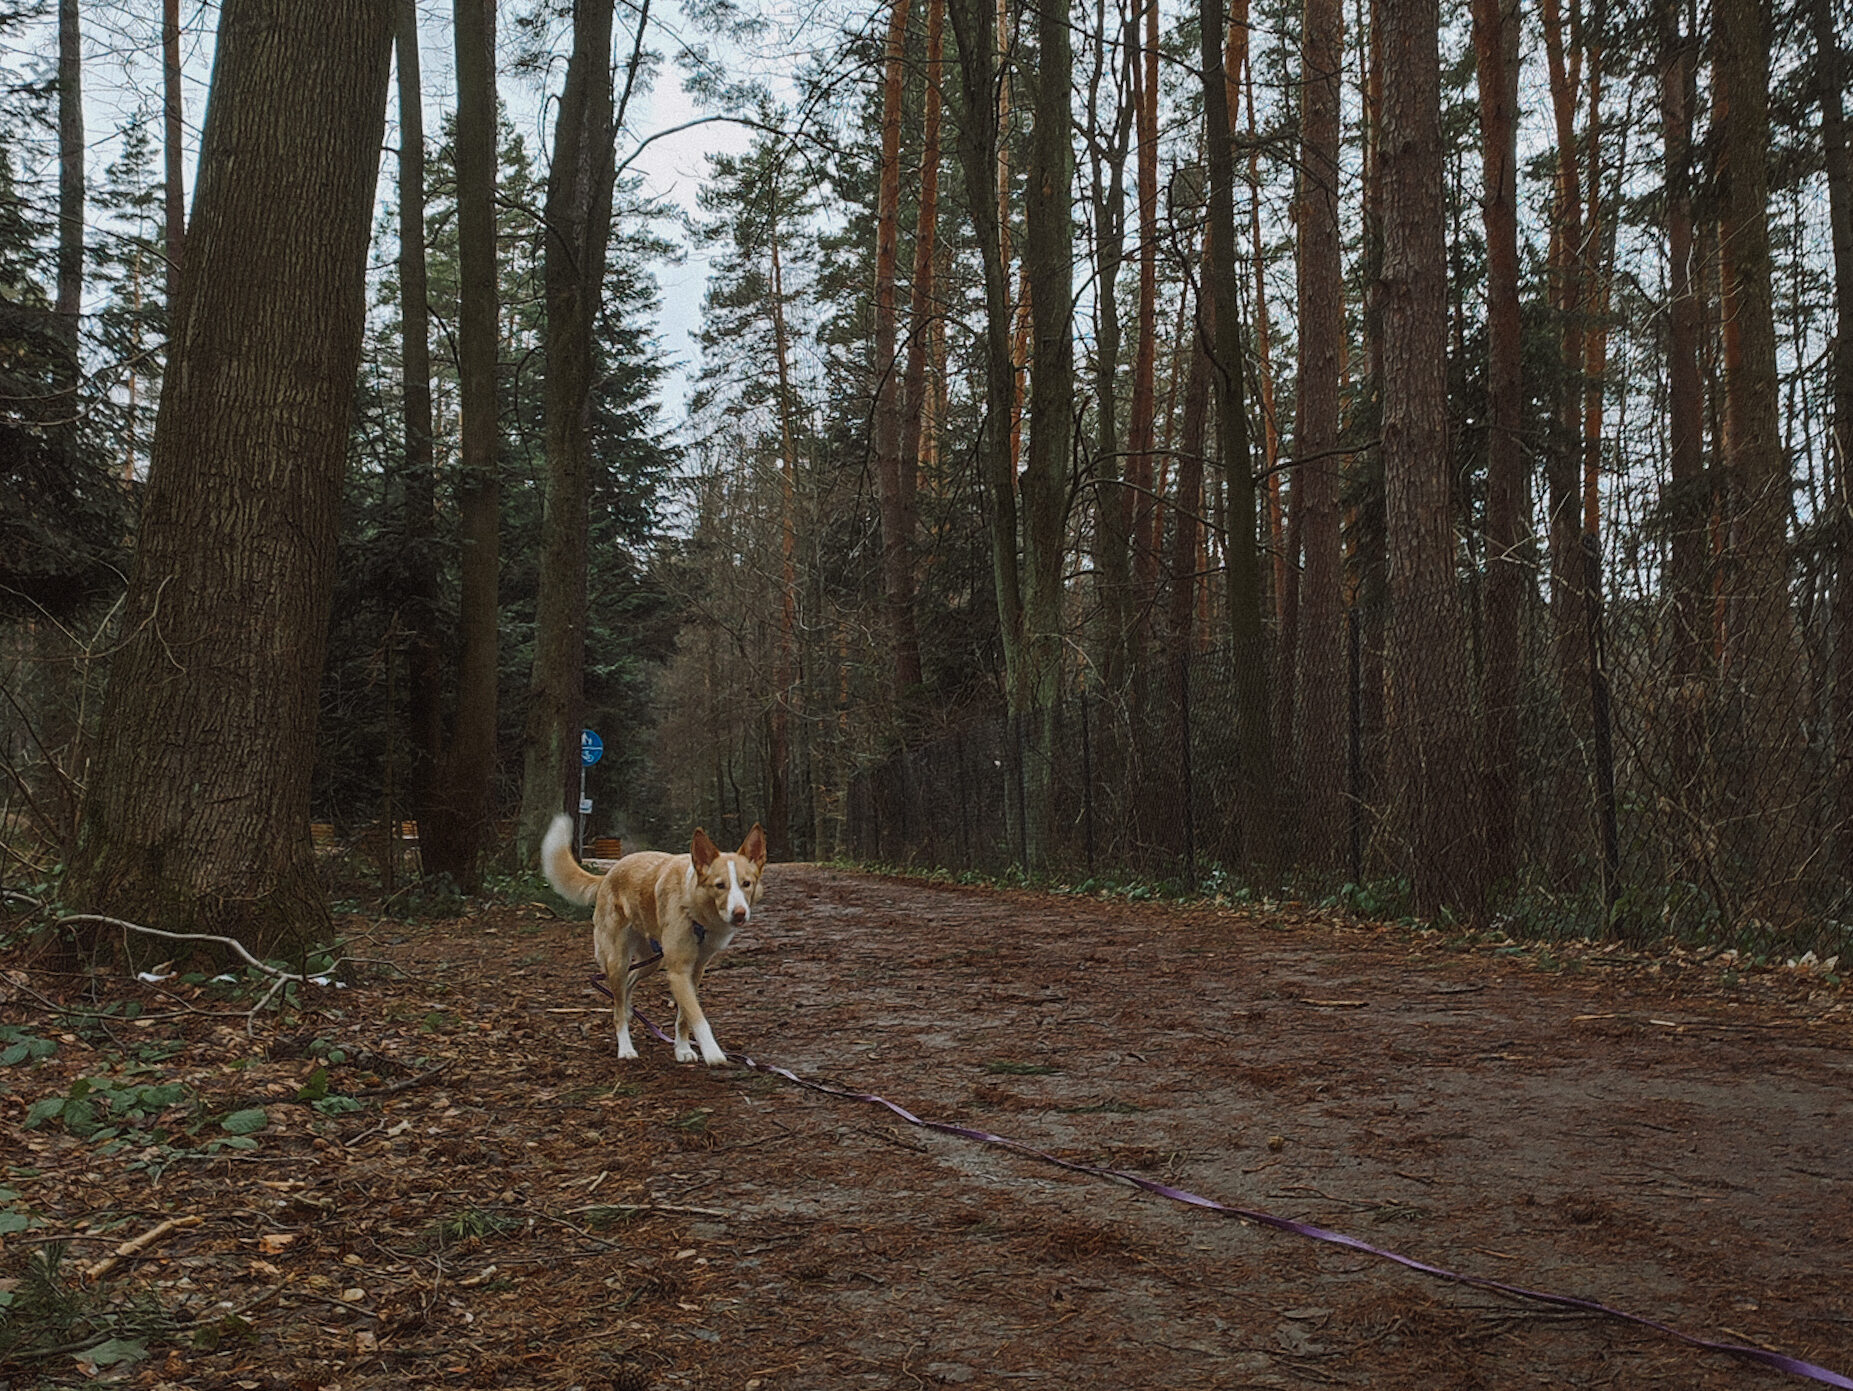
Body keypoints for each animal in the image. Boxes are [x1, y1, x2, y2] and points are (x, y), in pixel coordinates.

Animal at [541, 814, 767, 1066]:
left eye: (747, 883)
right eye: (720, 886)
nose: (739, 914)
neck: (693, 907)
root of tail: (608, 875)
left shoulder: (695, 970)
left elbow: (684, 1016)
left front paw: (682, 1049)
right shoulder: (678, 971)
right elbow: (697, 1016)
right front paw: (713, 1053)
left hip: (652, 961)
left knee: (628, 985)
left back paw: (629, 1010)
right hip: (618, 959)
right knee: (618, 1009)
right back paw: (626, 1047)